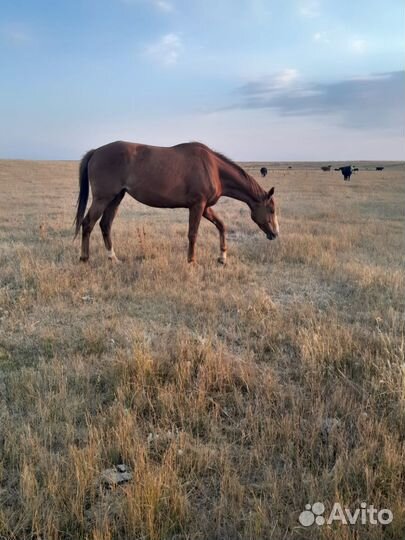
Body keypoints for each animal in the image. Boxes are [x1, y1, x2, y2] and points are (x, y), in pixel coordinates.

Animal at [74, 141, 280, 264]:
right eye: (271, 210)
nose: (275, 234)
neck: (213, 168)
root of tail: (96, 151)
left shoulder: (205, 207)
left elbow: (221, 225)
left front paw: (222, 257)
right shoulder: (197, 206)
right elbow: (193, 234)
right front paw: (191, 261)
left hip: (115, 198)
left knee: (105, 225)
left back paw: (113, 258)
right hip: (103, 198)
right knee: (88, 223)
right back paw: (84, 258)